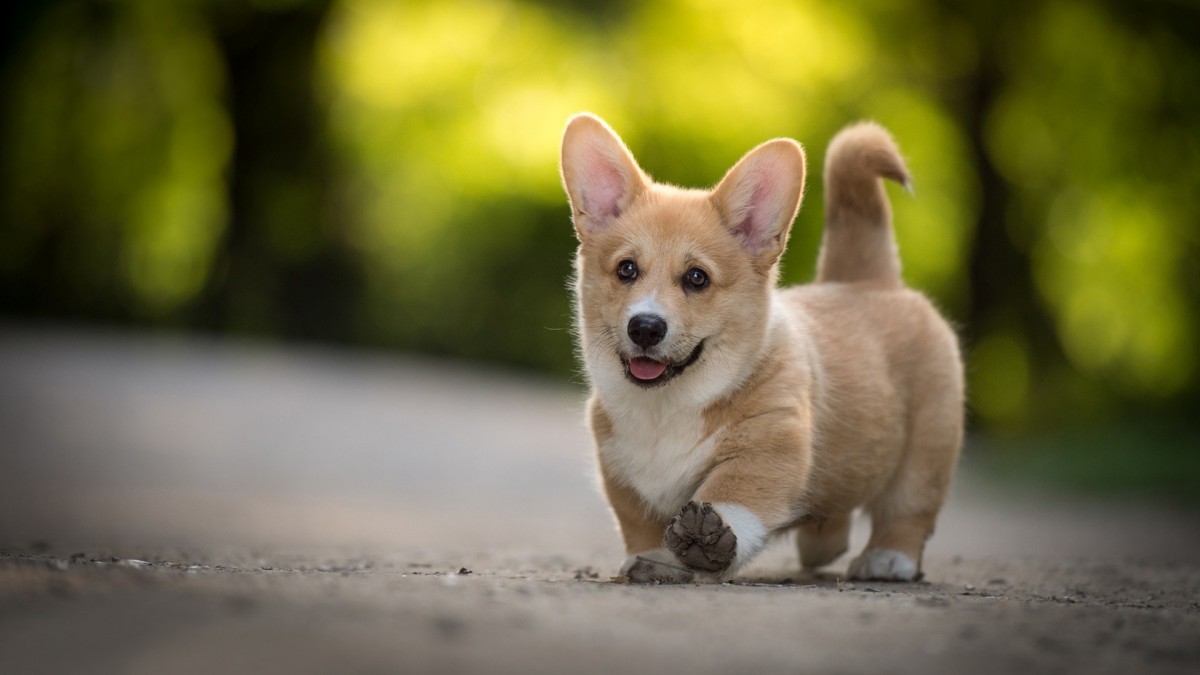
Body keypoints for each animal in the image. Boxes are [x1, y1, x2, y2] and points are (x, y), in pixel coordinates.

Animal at [561, 112, 964, 581]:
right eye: (626, 269)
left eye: (697, 278)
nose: (645, 328)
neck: (668, 406)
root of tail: (871, 280)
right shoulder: (619, 470)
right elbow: (639, 524)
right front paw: (653, 559)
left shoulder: (769, 446)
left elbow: (733, 494)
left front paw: (706, 539)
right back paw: (822, 543)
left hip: (926, 450)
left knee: (908, 509)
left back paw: (887, 557)